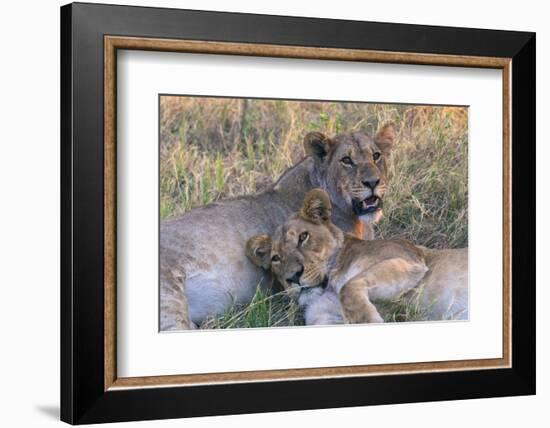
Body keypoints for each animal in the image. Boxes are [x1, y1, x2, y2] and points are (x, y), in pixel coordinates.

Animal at [248, 188, 468, 324]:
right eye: (276, 258)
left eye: (303, 237)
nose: (293, 277)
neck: (328, 288)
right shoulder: (325, 317)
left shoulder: (410, 260)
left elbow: (349, 286)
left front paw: (371, 321)